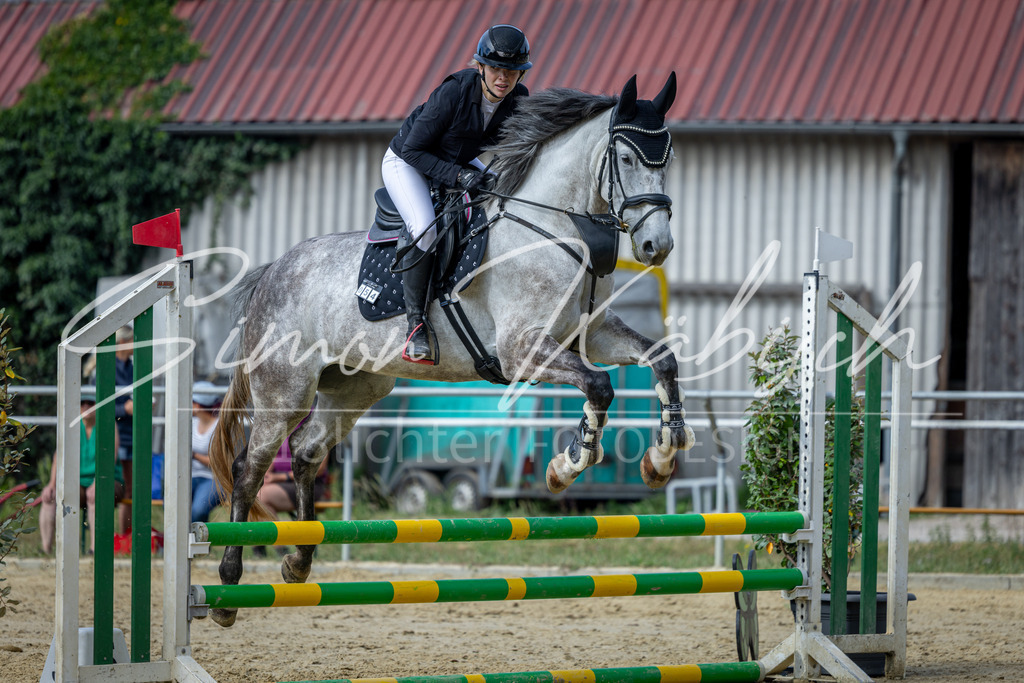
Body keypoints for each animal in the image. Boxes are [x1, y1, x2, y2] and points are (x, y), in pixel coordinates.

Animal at [207, 73, 695, 627]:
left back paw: (299, 562)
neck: (555, 231)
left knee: (308, 452)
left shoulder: (589, 336)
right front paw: (567, 464)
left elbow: (660, 359)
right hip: (283, 391)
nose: (657, 246)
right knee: (250, 468)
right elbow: (599, 385)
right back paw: (227, 589)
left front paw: (662, 456)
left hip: (355, 387)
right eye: (627, 158)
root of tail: (274, 270)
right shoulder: (522, 349)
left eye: (666, 158)